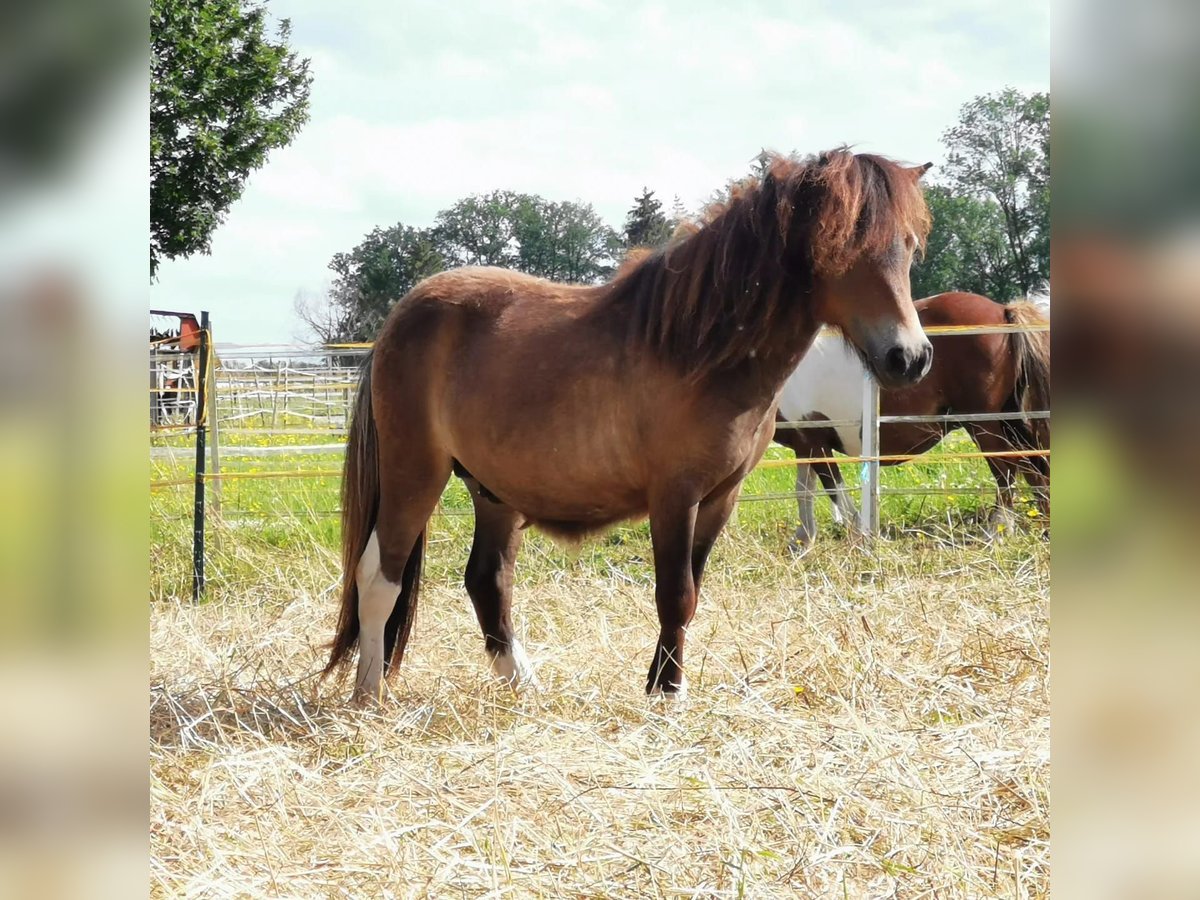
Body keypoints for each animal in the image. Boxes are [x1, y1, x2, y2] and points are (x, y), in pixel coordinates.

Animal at [328, 150, 936, 705]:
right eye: (841, 246)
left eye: (909, 245)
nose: (909, 357)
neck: (700, 352)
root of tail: (402, 316)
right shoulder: (674, 496)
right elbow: (675, 594)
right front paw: (667, 694)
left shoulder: (721, 497)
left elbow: (691, 592)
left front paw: (664, 685)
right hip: (415, 473)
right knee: (378, 576)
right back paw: (369, 694)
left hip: (493, 491)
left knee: (487, 581)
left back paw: (523, 685)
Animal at [772, 292, 1046, 554]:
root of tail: (1002, 310)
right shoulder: (805, 445)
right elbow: (803, 490)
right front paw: (803, 540)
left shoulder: (814, 441)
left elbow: (834, 491)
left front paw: (859, 539)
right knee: (1030, 468)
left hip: (983, 424)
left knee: (1006, 470)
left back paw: (996, 531)